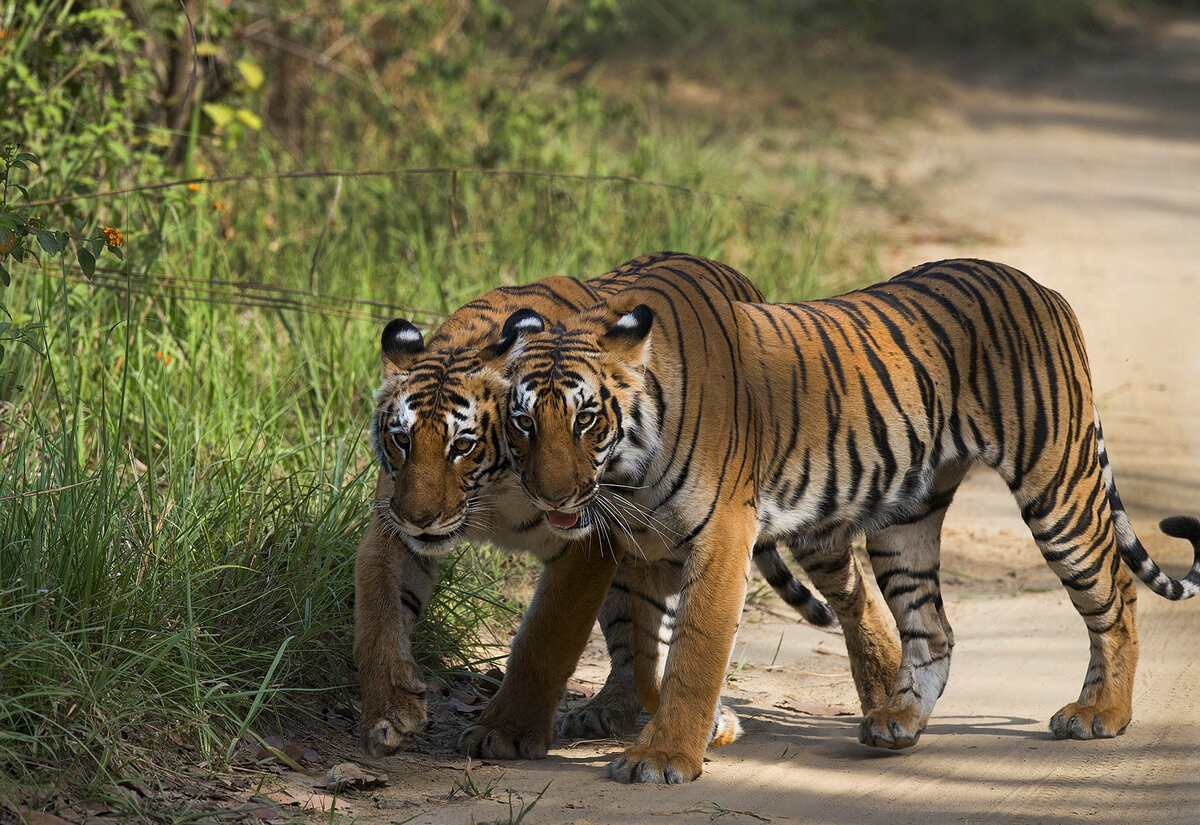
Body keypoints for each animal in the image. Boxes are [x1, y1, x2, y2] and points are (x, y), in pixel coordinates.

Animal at [475, 254, 1200, 781]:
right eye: (523, 421)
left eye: (586, 419)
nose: (551, 497)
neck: (627, 470)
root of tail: (1038, 285)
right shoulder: (646, 542)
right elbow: (641, 641)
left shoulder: (722, 534)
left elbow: (692, 652)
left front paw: (664, 757)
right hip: (906, 522)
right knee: (931, 626)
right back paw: (899, 719)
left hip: (1057, 485)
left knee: (1115, 592)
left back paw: (1101, 711)